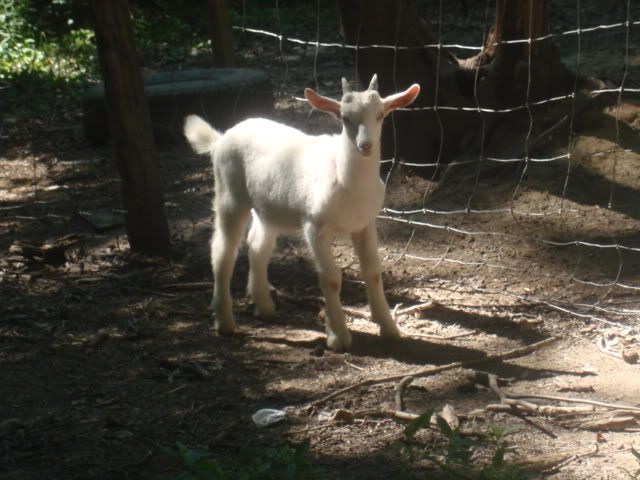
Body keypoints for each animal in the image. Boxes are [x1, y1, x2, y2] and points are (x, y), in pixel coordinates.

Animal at [184, 74, 420, 351]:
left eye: (381, 115)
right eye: (344, 117)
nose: (365, 145)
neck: (348, 183)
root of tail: (221, 138)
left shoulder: (364, 224)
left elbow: (372, 271)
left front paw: (389, 328)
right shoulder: (314, 225)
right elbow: (330, 277)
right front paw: (338, 336)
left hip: (268, 207)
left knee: (257, 246)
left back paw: (264, 306)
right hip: (229, 193)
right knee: (222, 251)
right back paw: (224, 321)